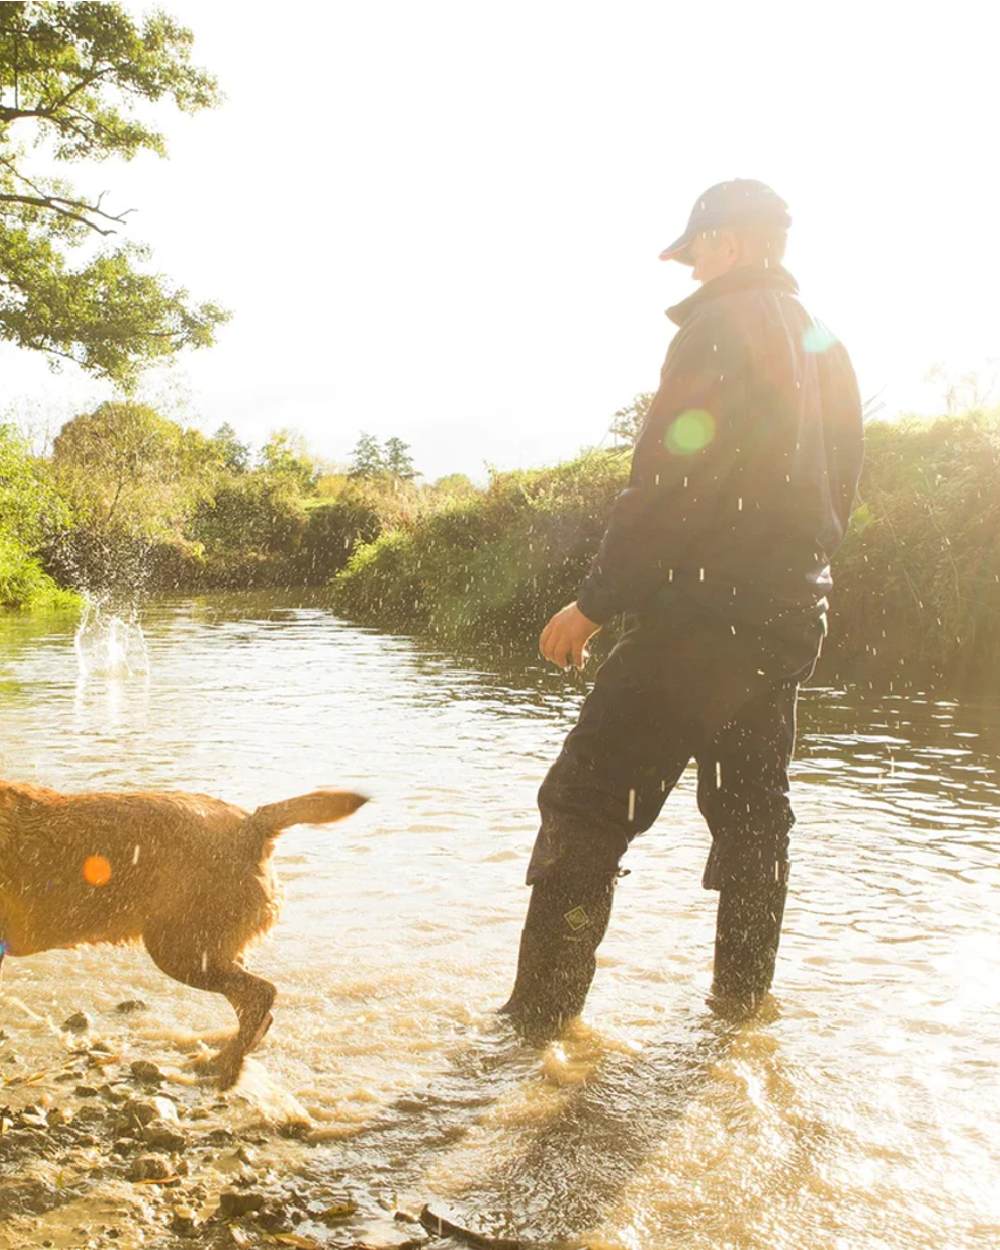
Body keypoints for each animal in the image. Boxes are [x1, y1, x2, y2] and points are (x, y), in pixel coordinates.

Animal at [0, 780, 367, 1085]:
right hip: (208, 950)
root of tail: (251, 824)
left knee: (261, 993)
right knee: (256, 1003)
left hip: (182, 951)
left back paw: (225, 1064)